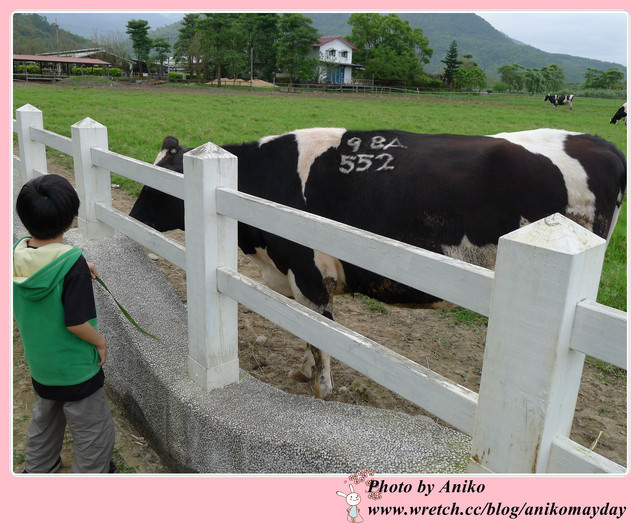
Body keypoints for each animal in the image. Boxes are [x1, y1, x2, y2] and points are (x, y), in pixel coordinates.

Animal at [129, 127, 624, 398]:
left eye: (156, 184)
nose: (131, 217)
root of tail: (598, 143)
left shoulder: (309, 275)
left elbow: (319, 338)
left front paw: (321, 389)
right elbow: (305, 333)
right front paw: (304, 372)